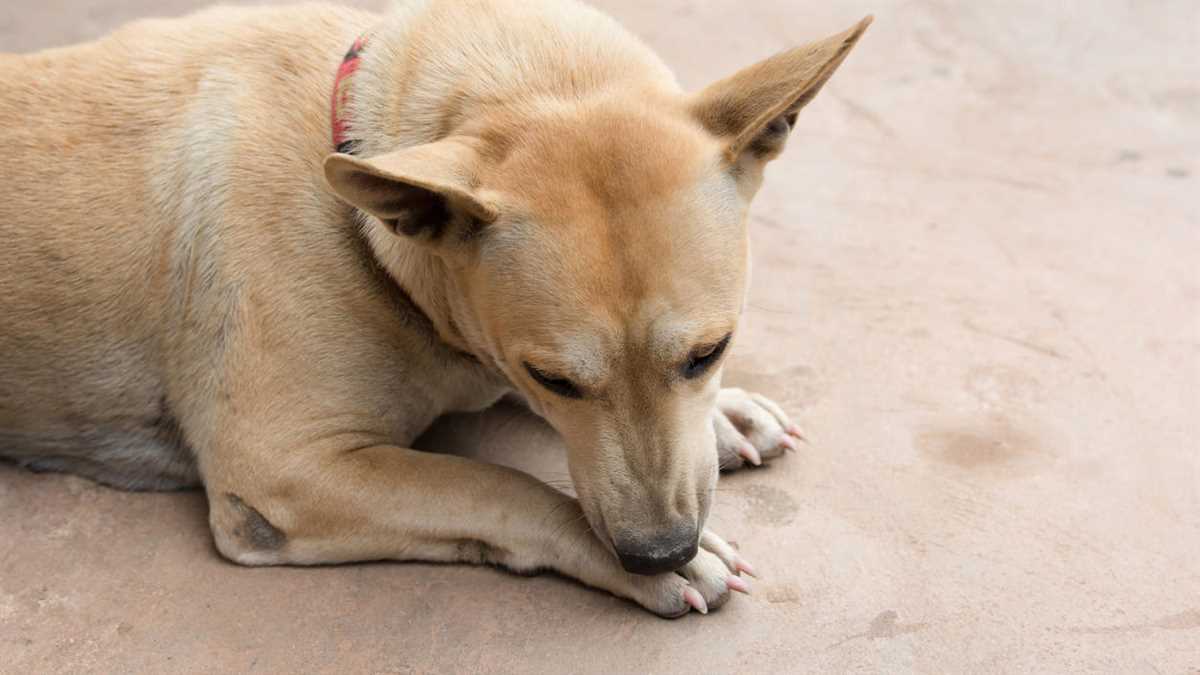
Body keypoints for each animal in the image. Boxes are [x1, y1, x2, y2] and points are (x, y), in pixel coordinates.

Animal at [2, 0, 873, 612]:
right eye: (555, 378)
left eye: (709, 352)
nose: (658, 550)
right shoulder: (283, 470)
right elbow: (496, 485)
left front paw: (724, 412)